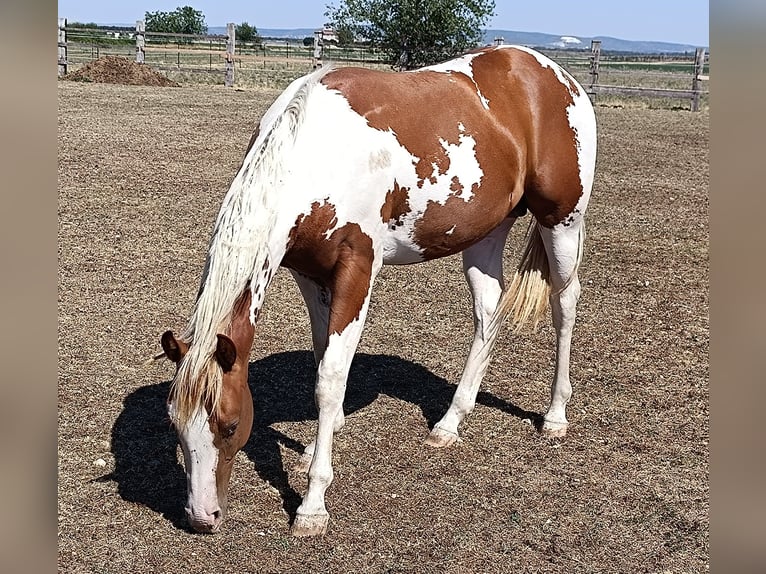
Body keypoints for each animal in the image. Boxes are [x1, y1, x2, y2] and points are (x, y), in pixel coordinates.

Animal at [157, 44, 597, 537]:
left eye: (230, 425)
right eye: (175, 425)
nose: (202, 517)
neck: (315, 149)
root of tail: (555, 74)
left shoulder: (358, 269)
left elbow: (331, 378)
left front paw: (312, 503)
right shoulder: (308, 272)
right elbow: (321, 357)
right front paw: (317, 442)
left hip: (562, 222)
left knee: (565, 303)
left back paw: (555, 415)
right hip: (486, 231)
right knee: (488, 311)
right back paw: (450, 422)